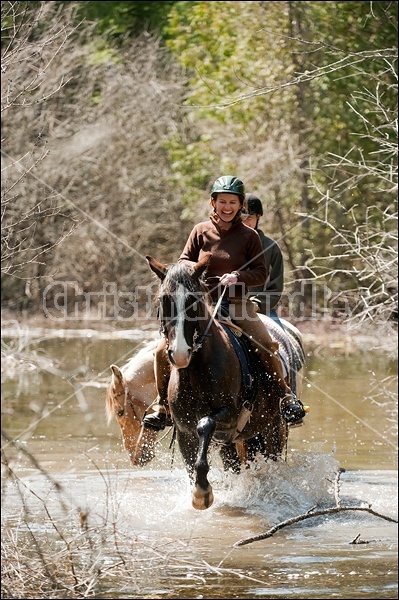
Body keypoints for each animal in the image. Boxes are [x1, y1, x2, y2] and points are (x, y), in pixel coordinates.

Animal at [147, 253, 306, 510]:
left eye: (194, 300)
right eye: (164, 299)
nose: (180, 353)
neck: (196, 372)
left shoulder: (229, 416)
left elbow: (205, 423)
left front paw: (203, 492)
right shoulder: (184, 429)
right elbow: (191, 464)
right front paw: (199, 490)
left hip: (273, 430)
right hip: (239, 440)